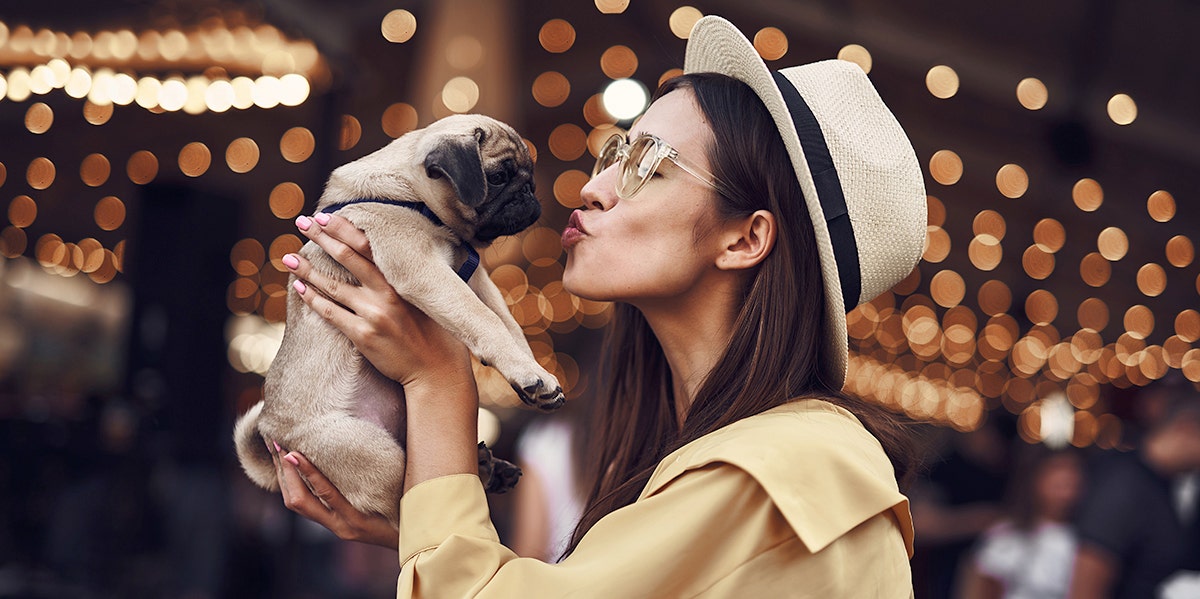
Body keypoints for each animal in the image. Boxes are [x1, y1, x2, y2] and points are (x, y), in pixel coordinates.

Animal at [238, 114, 566, 528]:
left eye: (530, 178)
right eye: (500, 176)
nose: (530, 194)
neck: (411, 196)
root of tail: (273, 434)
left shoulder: (476, 278)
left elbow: (508, 324)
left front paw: (532, 372)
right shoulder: (424, 269)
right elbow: (485, 321)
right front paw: (529, 373)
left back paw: (487, 467)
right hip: (369, 451)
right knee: (404, 508)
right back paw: (481, 474)